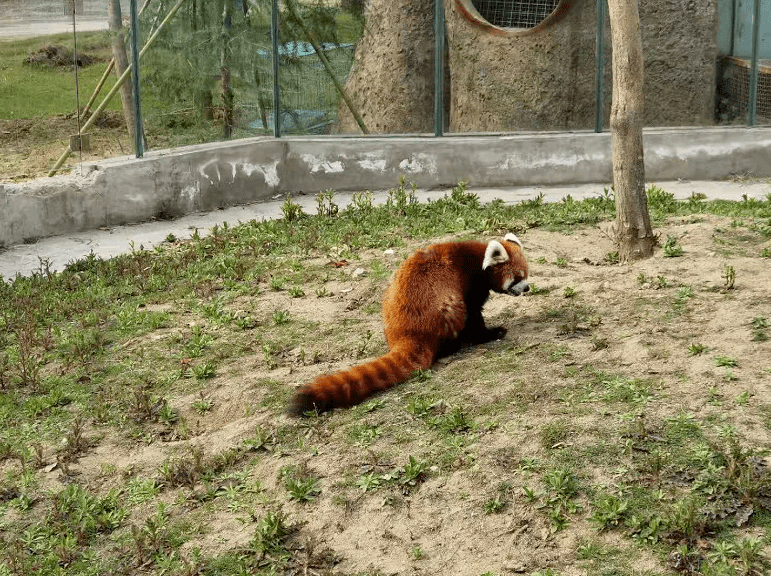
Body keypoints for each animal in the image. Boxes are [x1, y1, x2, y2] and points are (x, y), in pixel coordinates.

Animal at [290, 232, 532, 416]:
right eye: (518, 277)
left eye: (526, 275)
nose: (528, 288)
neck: (477, 257)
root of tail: (407, 332)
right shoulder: (468, 282)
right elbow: (474, 316)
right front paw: (491, 333)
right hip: (446, 306)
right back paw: (452, 346)